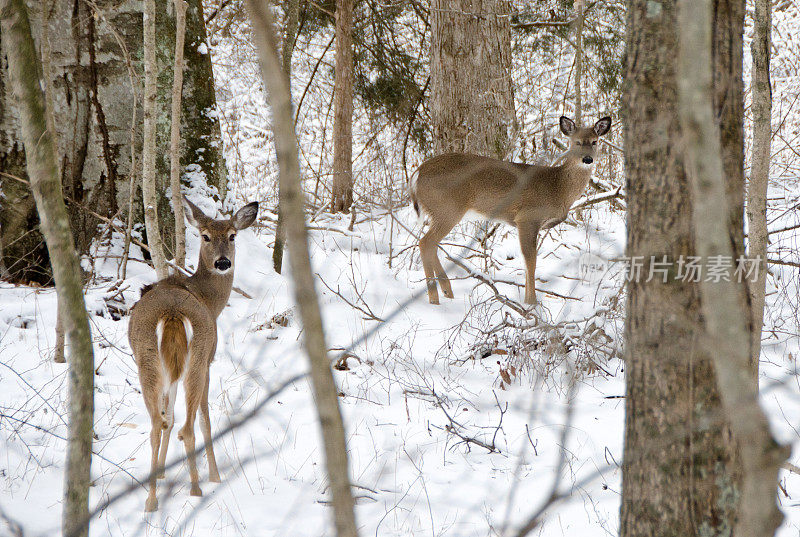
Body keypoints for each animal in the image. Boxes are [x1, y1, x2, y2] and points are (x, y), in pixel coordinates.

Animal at [129, 195, 256, 508]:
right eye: (205, 236)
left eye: (232, 236)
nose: (223, 262)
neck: (209, 300)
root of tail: (173, 313)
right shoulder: (209, 359)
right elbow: (204, 420)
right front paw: (215, 476)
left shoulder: (171, 369)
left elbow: (168, 417)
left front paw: (163, 472)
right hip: (197, 358)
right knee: (188, 426)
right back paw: (197, 488)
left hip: (147, 360)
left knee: (156, 424)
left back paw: (151, 501)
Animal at [412, 115, 612, 304]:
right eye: (576, 142)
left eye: (595, 141)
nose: (587, 159)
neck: (557, 188)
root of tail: (417, 173)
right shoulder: (527, 217)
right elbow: (530, 261)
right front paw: (531, 304)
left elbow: (526, 262)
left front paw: (527, 302)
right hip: (447, 208)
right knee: (425, 242)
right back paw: (434, 298)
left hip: (441, 211)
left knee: (431, 244)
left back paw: (447, 292)